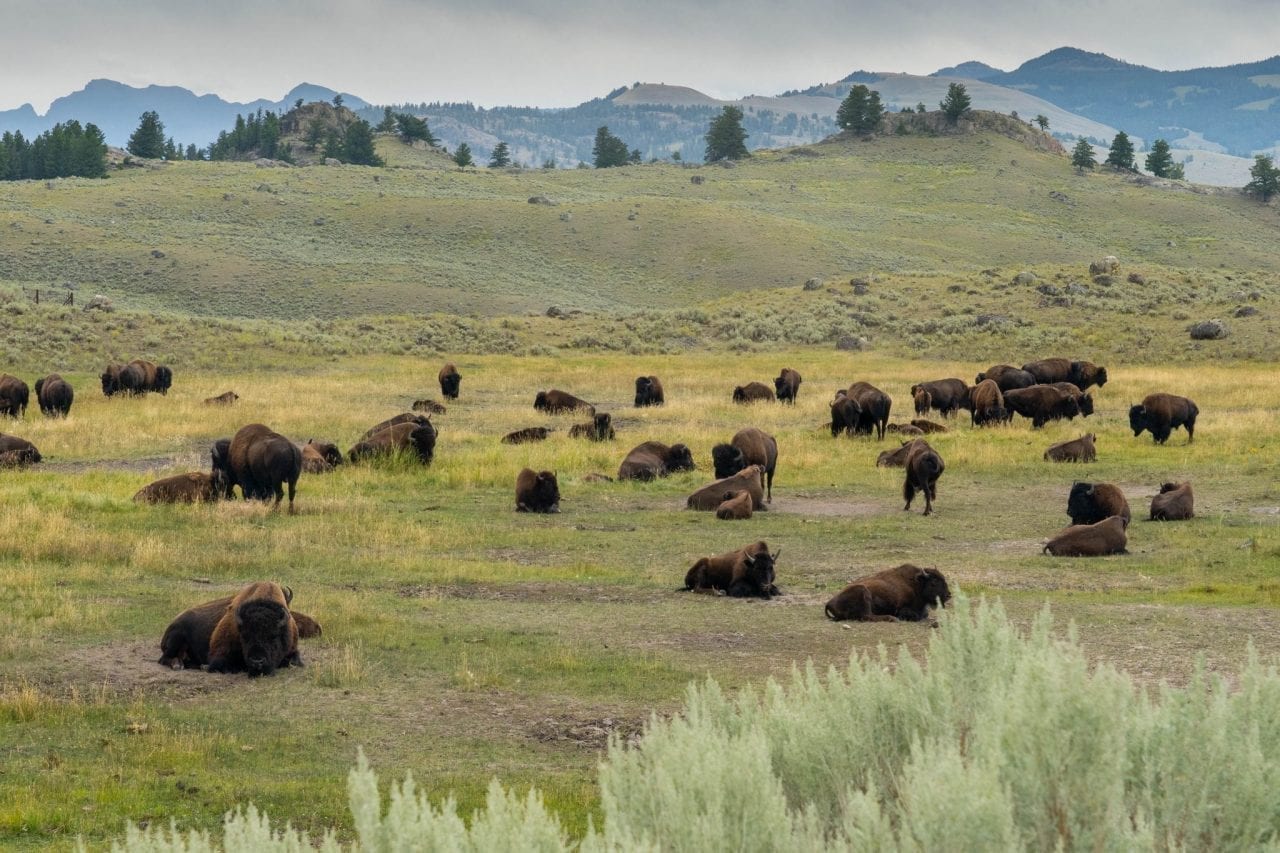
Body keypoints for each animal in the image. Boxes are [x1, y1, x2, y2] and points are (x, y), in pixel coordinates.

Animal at [158, 581, 325, 676]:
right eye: (244, 635)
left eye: (274, 636)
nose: (257, 661)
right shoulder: (218, 653)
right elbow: (220, 664)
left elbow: (295, 661)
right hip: (177, 637)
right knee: (164, 658)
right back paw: (178, 665)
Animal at [819, 560, 952, 622]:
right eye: (934, 582)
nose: (948, 595)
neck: (917, 584)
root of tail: (829, 603)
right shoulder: (902, 607)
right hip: (863, 592)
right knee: (867, 616)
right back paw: (892, 618)